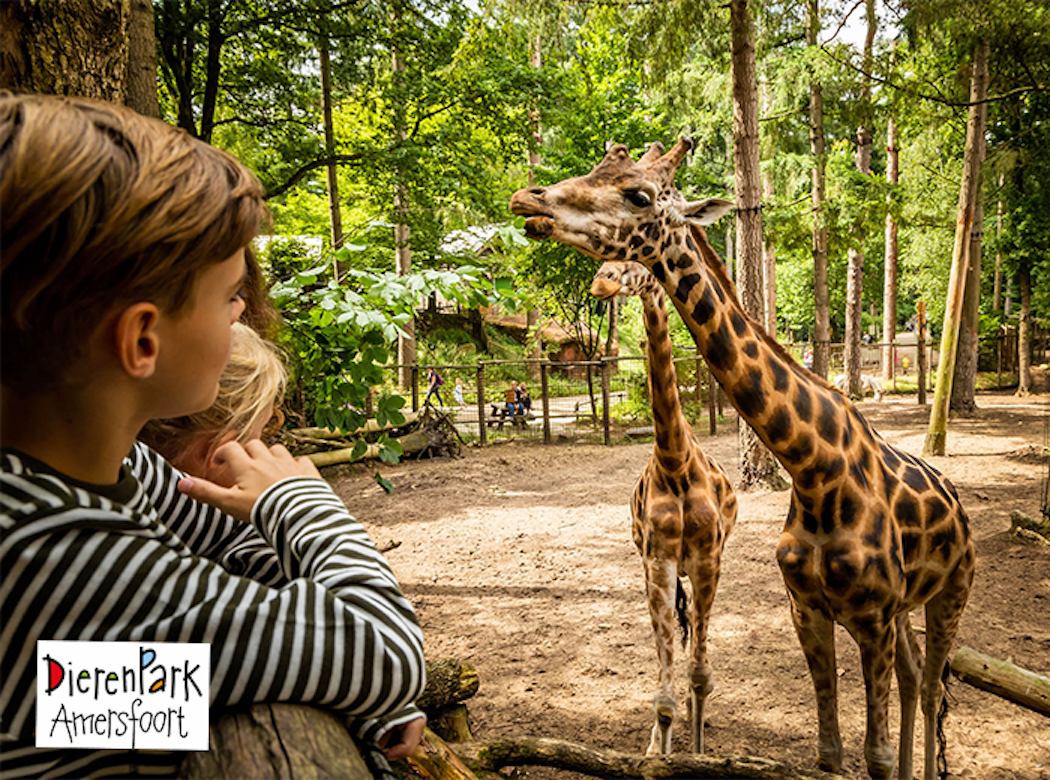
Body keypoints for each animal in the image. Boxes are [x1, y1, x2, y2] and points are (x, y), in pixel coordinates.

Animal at [591, 260, 738, 755]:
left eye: (634, 263)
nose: (601, 281)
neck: (675, 462)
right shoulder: (658, 561)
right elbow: (664, 697)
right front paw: (660, 751)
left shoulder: (709, 559)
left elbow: (701, 676)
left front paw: (698, 751)